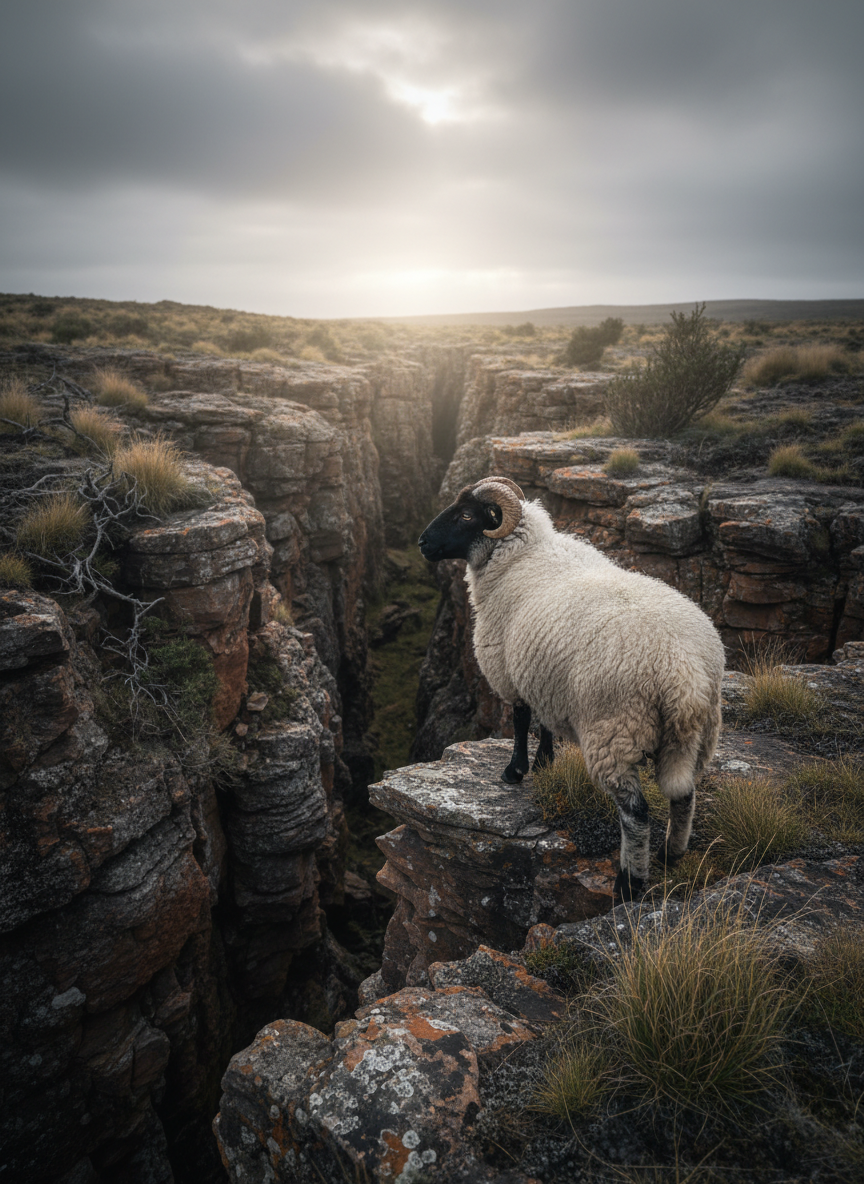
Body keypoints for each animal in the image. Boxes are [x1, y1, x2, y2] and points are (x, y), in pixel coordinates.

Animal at [418, 475, 724, 901]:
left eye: (466, 515)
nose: (422, 542)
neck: (519, 554)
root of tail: (684, 674)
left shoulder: (509, 671)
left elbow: (520, 720)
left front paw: (515, 771)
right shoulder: (541, 672)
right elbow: (543, 721)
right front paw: (544, 761)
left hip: (613, 732)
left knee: (636, 813)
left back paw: (629, 882)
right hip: (696, 736)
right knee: (684, 796)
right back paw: (670, 854)